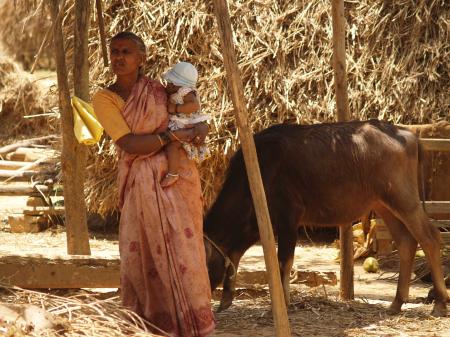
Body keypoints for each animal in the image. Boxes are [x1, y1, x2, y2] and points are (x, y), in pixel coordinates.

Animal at [203, 120, 446, 316]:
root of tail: (408, 135)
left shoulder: (288, 218)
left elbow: (283, 262)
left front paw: (279, 306)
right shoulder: (260, 224)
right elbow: (236, 253)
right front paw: (226, 300)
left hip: (404, 198)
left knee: (430, 238)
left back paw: (440, 303)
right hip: (383, 203)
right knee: (406, 242)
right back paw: (396, 303)